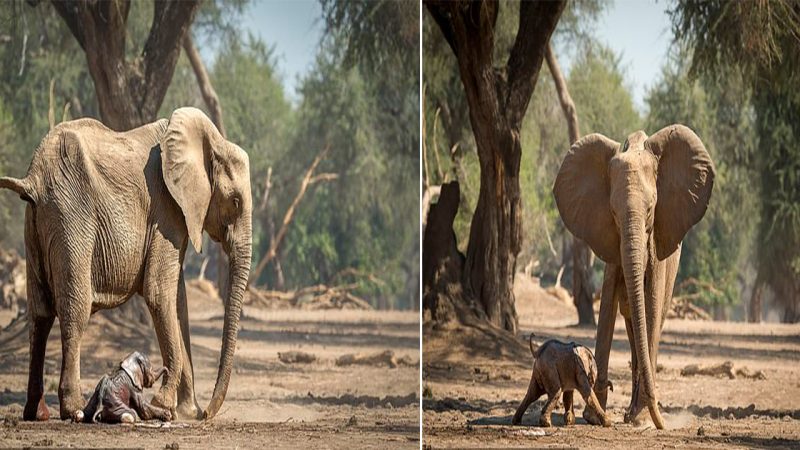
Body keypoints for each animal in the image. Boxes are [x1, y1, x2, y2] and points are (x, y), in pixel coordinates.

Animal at [0, 108, 250, 422]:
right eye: (236, 201)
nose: (206, 413)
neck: (209, 141)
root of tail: (32, 179)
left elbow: (178, 302)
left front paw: (186, 412)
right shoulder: (166, 210)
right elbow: (159, 294)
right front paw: (165, 406)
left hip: (33, 224)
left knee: (40, 314)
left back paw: (37, 413)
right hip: (70, 216)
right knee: (74, 310)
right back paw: (74, 410)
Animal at [552, 124, 716, 428]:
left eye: (651, 209)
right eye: (613, 214)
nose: (661, 422)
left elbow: (650, 305)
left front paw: (637, 415)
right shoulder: (609, 240)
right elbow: (608, 305)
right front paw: (594, 415)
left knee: (653, 321)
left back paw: (637, 413)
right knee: (631, 329)